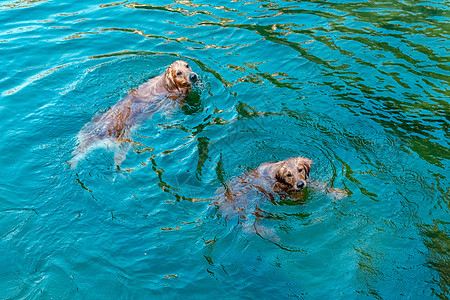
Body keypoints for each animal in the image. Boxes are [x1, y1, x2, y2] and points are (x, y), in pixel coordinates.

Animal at [68, 60, 197, 169]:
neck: (166, 83)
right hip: (123, 141)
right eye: (179, 73)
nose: (193, 76)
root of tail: (96, 135)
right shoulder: (173, 99)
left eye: (187, 65)